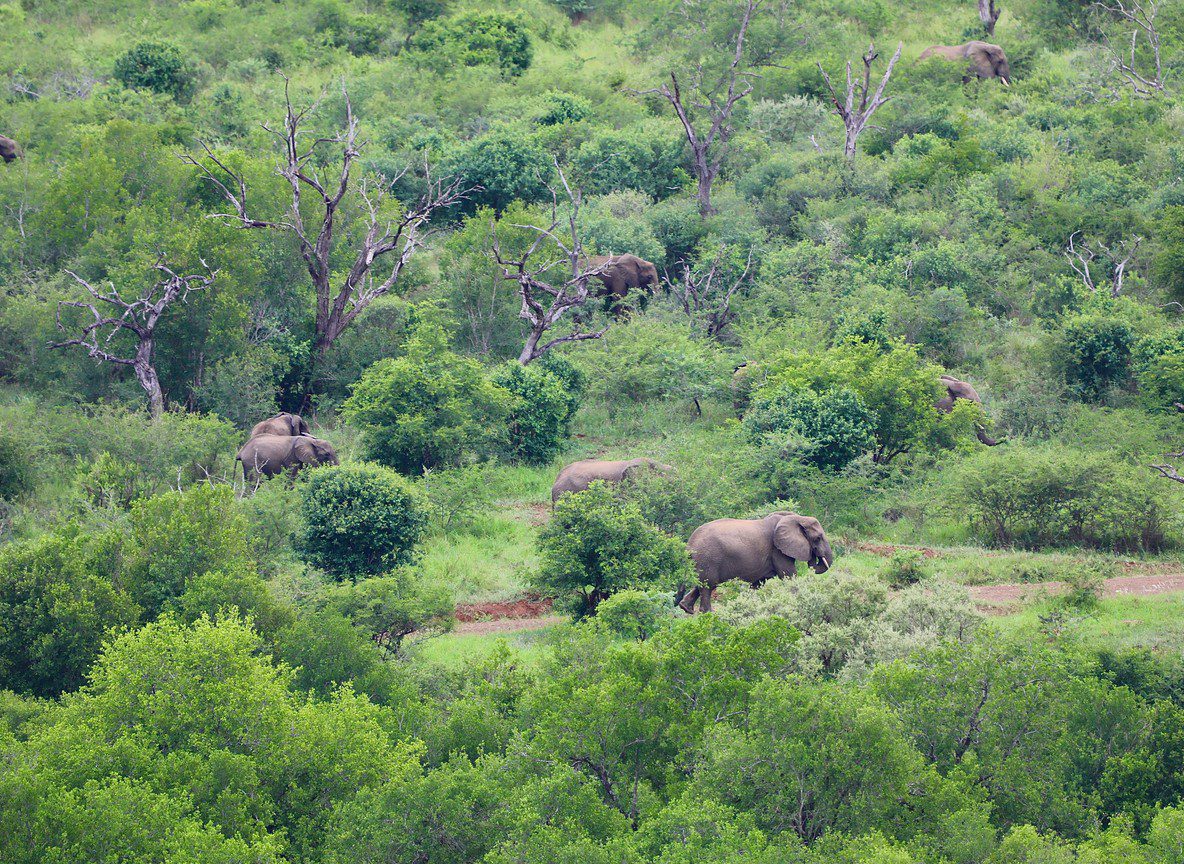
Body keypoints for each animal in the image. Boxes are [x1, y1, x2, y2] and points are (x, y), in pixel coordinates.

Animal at [679, 511, 833, 614]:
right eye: (818, 538)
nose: (815, 555)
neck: (797, 518)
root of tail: (689, 544)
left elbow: (758, 582)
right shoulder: (777, 550)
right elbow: (788, 575)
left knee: (703, 584)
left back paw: (686, 608)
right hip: (708, 558)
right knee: (708, 585)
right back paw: (708, 614)